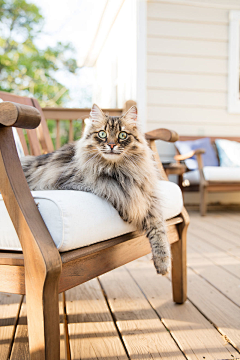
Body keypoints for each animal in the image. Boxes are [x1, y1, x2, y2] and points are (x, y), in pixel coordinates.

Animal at [21, 105, 171, 274]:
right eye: (102, 134)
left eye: (123, 135)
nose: (111, 145)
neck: (119, 172)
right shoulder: (72, 183)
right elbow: (111, 191)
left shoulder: (149, 198)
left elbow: (159, 230)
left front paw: (163, 263)